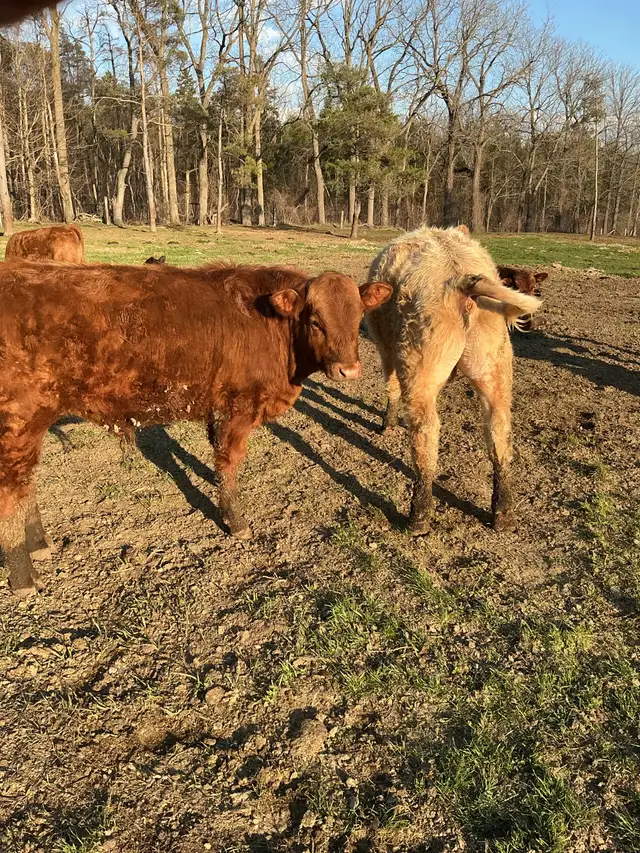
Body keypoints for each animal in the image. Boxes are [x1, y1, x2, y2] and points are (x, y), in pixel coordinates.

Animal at [0, 260, 392, 597]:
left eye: (359, 316)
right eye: (315, 321)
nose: (348, 370)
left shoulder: (216, 408)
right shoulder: (237, 408)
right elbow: (230, 462)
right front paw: (235, 520)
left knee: (26, 485)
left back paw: (39, 545)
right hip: (18, 422)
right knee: (11, 492)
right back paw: (24, 576)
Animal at [366, 225, 541, 536]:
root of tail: (460, 277)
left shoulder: (385, 349)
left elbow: (390, 386)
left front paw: (387, 424)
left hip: (419, 369)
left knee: (426, 434)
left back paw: (419, 517)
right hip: (495, 369)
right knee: (499, 433)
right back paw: (503, 514)